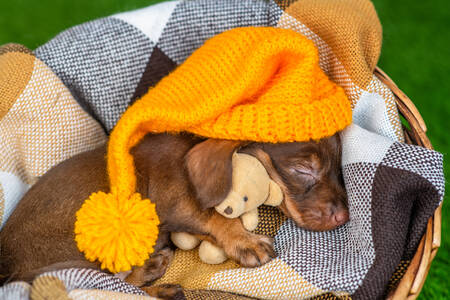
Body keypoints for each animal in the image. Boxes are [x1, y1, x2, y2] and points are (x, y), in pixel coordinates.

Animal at [0, 133, 348, 292]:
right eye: (302, 168)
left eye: (338, 166)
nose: (344, 217)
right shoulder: (172, 199)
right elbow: (214, 216)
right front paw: (246, 242)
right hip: (77, 263)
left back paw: (153, 269)